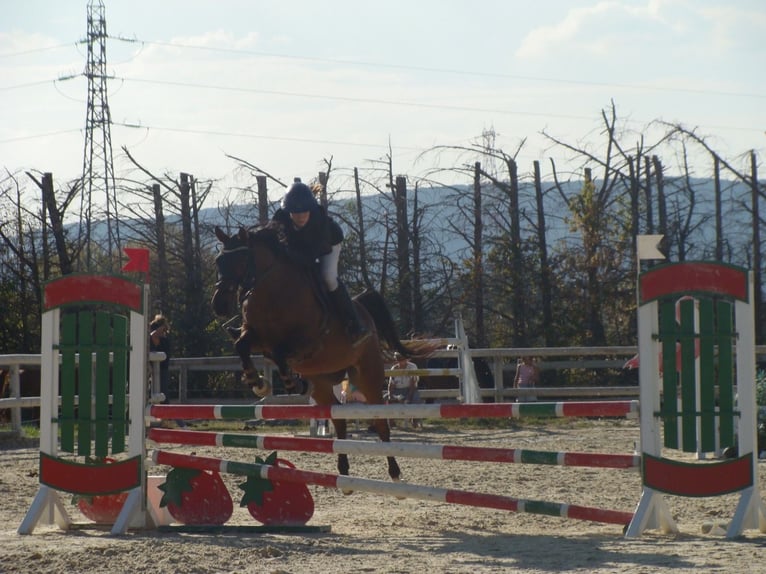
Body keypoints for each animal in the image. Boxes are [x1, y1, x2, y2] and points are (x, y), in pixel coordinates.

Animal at [210, 223, 436, 482]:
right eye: (219, 261)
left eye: (240, 260)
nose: (219, 305)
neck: (271, 290)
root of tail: (363, 309)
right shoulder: (257, 339)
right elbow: (242, 345)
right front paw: (257, 382)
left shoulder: (306, 342)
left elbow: (279, 352)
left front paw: (287, 383)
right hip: (322, 384)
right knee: (338, 418)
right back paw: (344, 472)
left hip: (367, 376)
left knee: (380, 422)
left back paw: (395, 472)